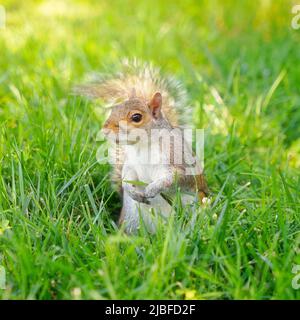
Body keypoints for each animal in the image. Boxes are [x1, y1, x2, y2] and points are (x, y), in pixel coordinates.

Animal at [76, 60, 209, 234]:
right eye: (114, 109)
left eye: (136, 117)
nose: (105, 129)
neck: (143, 145)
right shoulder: (131, 163)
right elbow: (127, 176)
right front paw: (132, 191)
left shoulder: (177, 160)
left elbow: (175, 178)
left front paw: (152, 189)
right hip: (132, 219)